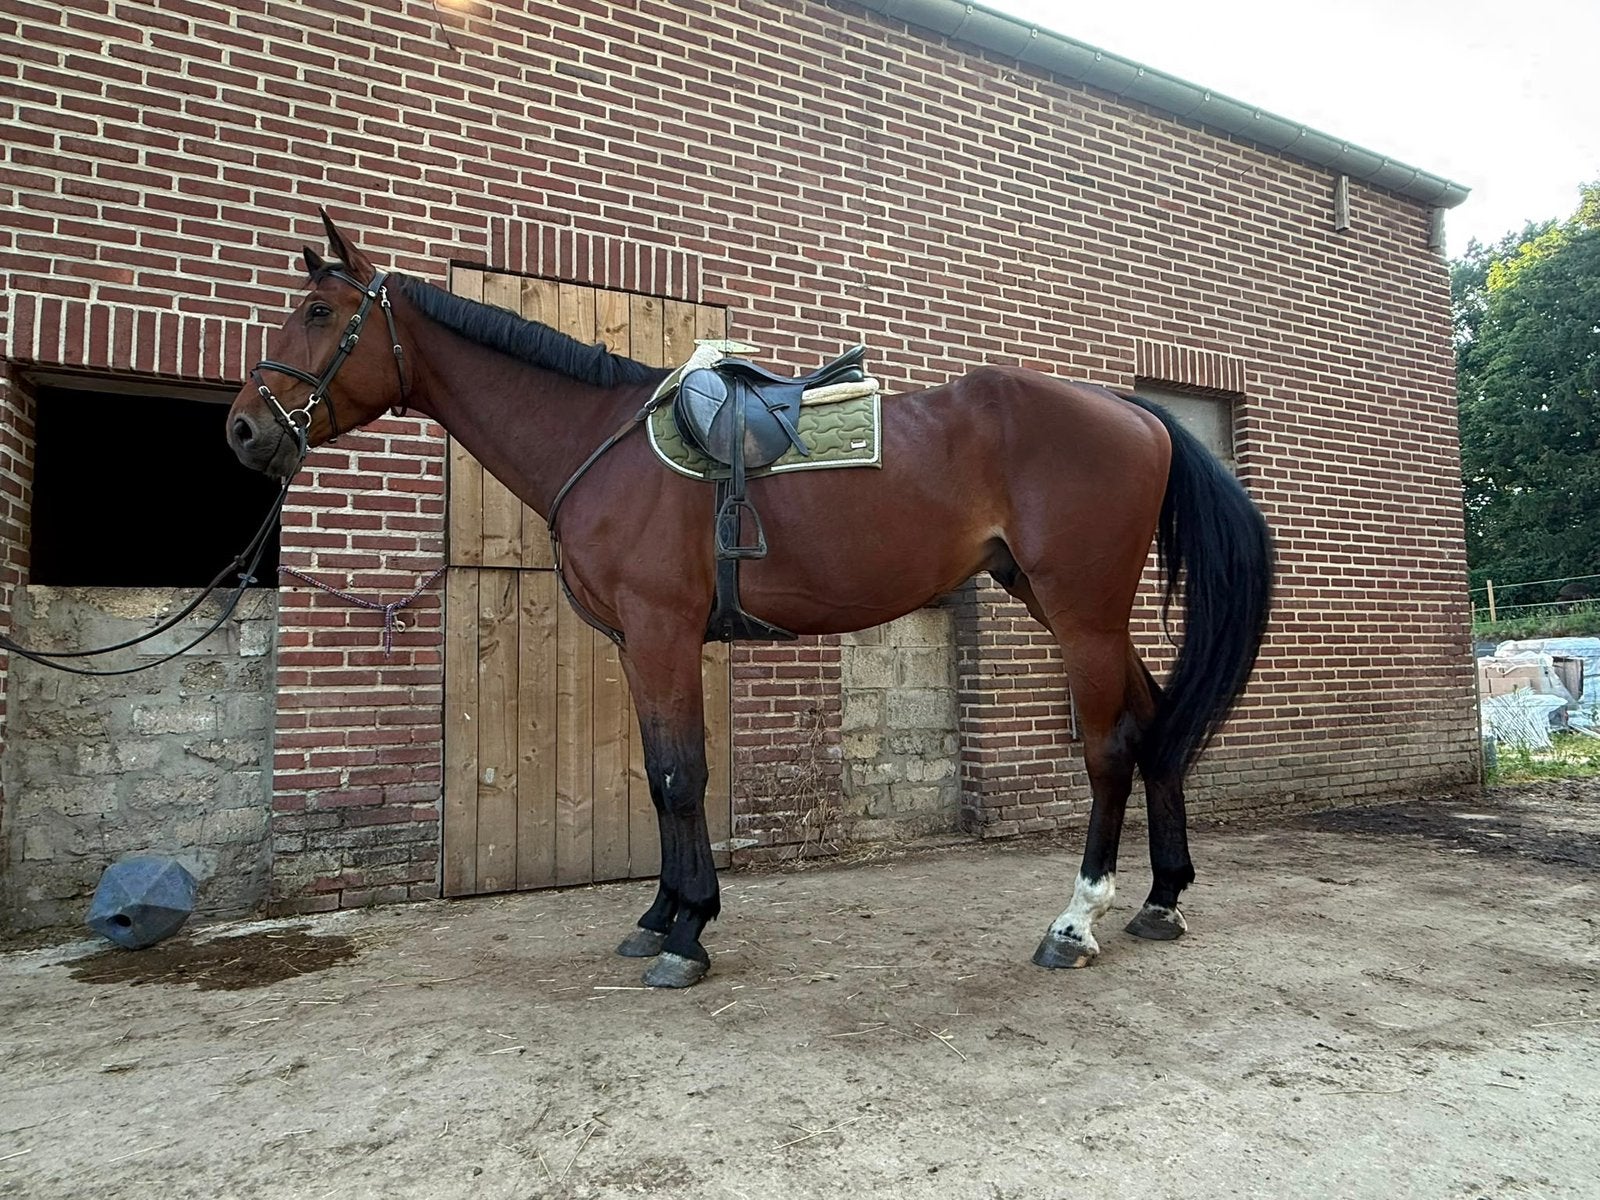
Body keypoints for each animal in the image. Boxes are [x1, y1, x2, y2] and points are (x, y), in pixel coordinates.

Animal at [227, 212, 1273, 988]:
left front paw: (689, 933)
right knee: (1155, 720)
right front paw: (660, 916)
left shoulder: (662, 633)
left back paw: (1075, 921)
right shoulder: (635, 645)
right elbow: (660, 776)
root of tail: (1136, 410)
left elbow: (681, 776)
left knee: (1110, 749)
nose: (242, 431)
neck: (600, 441)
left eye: (318, 310)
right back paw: (1161, 900)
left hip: (1080, 607)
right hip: (1065, 604)